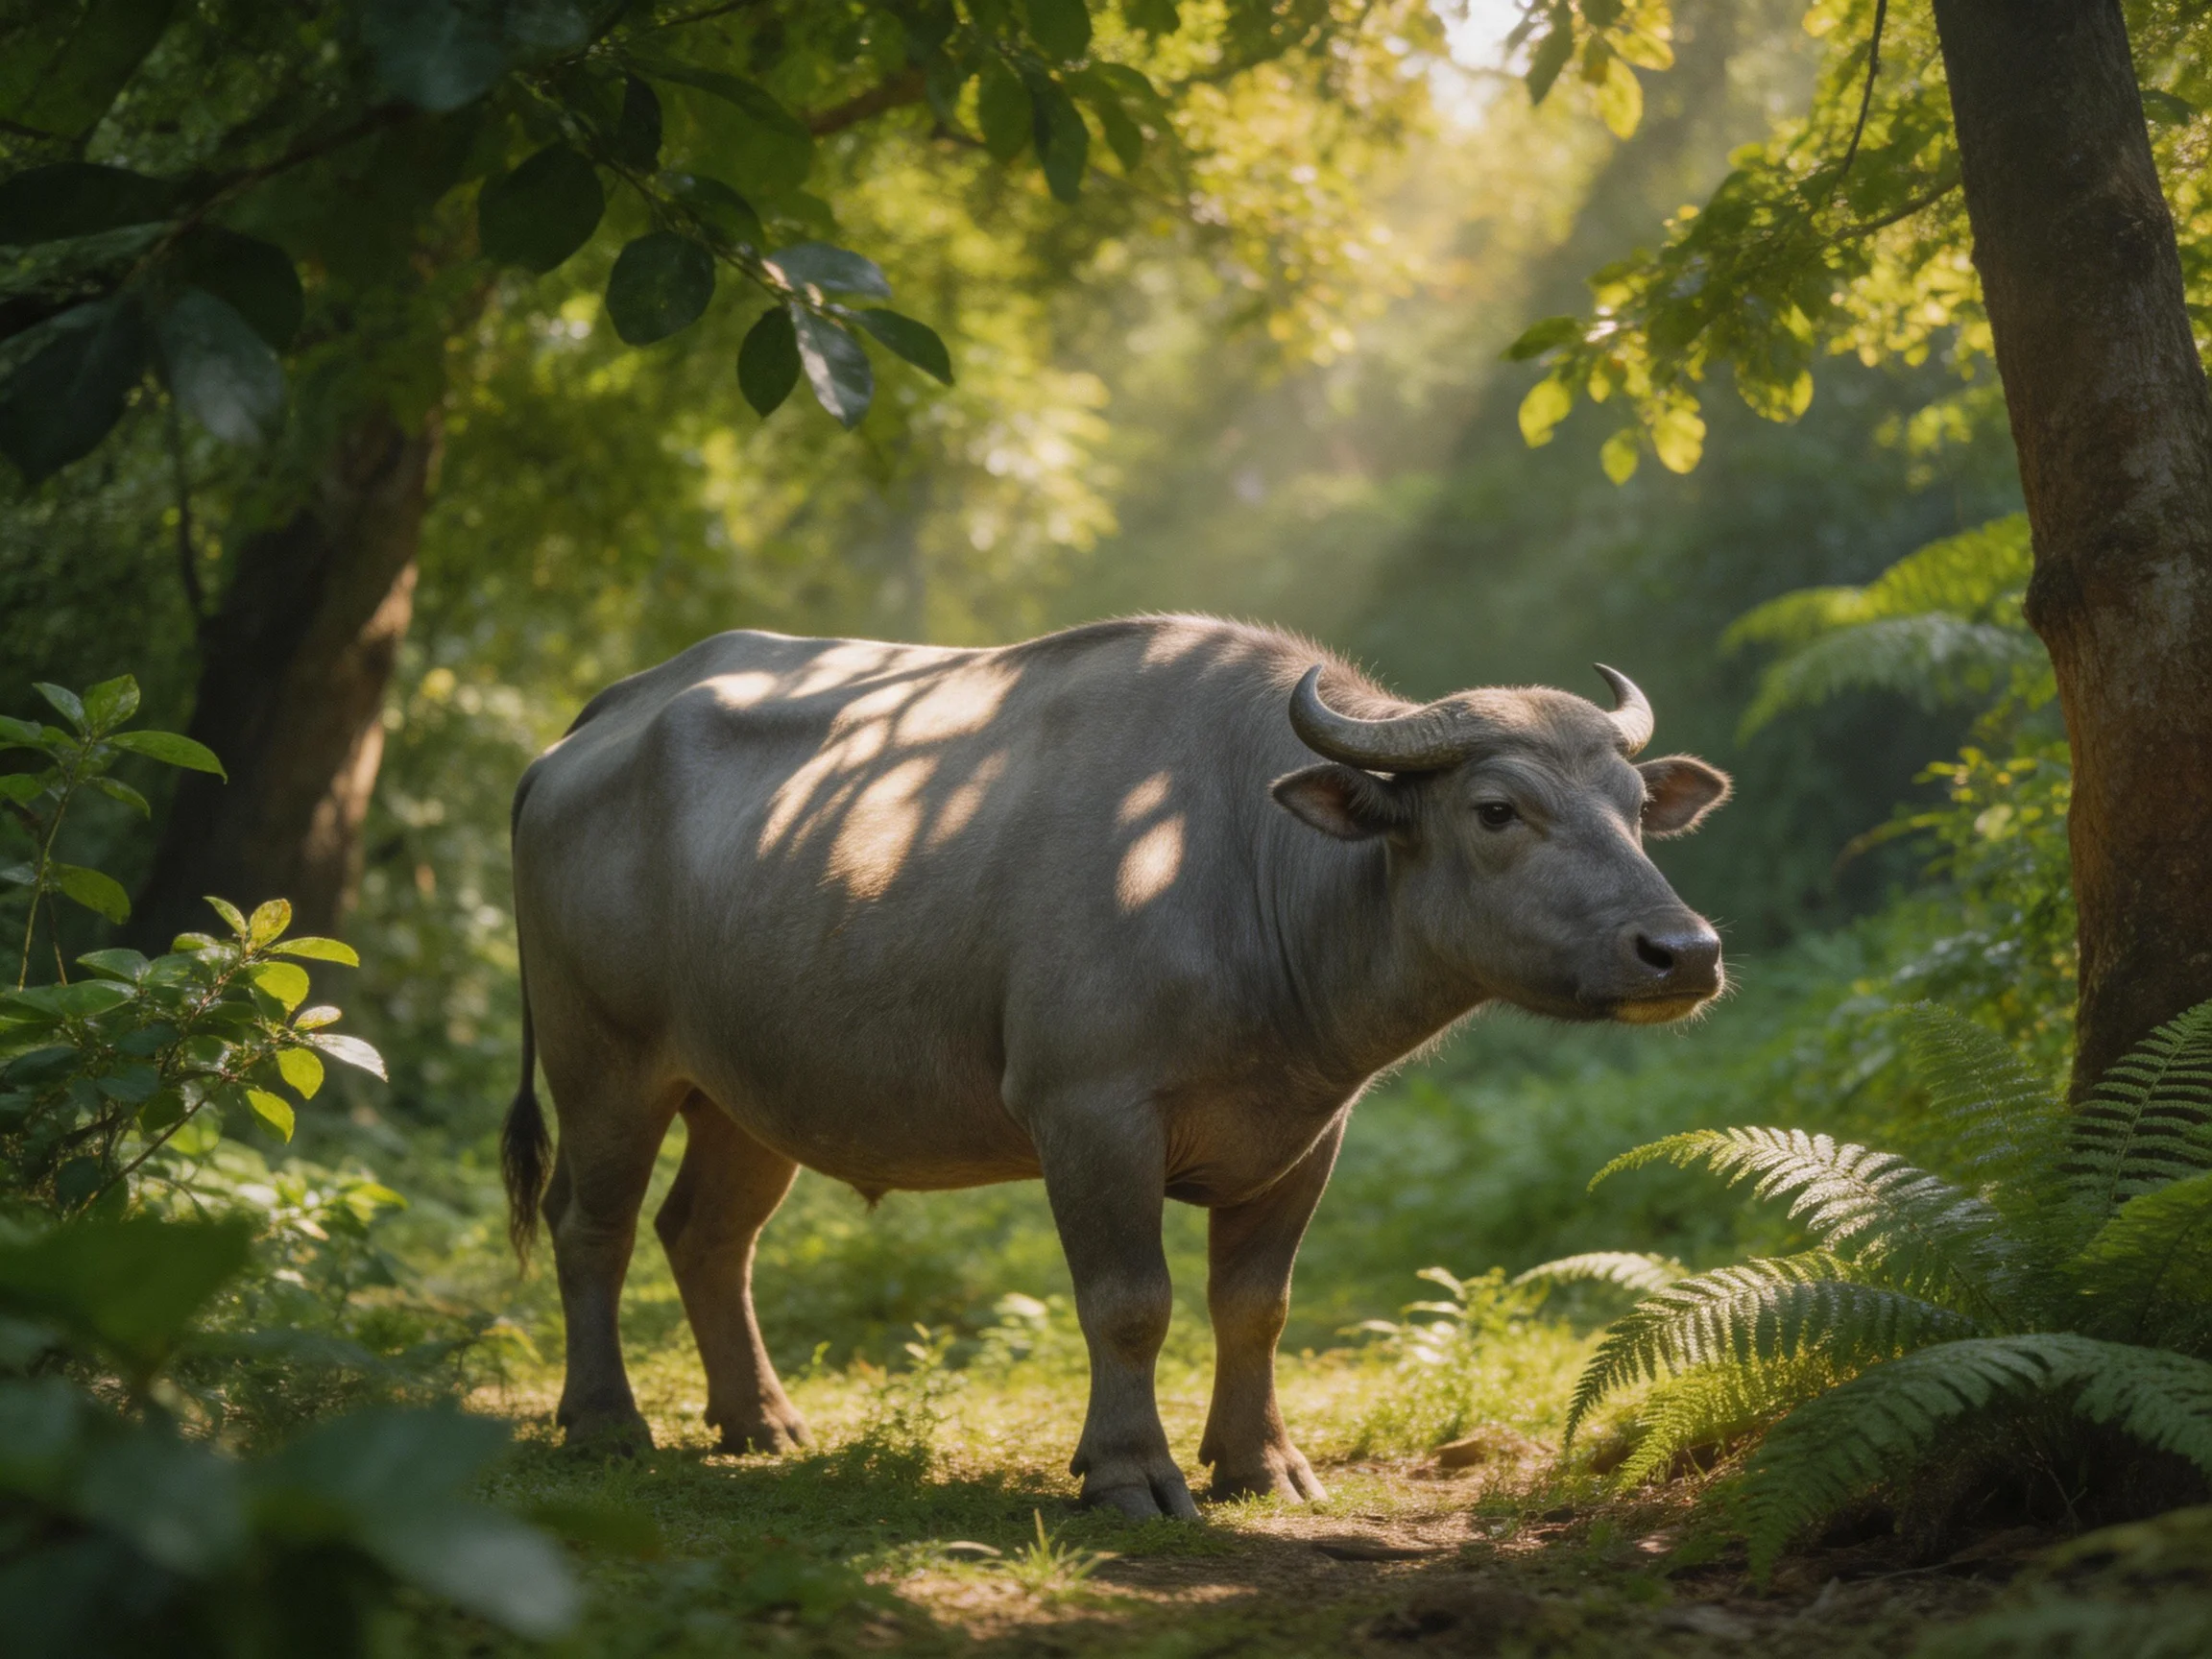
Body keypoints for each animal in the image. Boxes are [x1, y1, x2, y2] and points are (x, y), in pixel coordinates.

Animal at [503, 615, 1729, 1517]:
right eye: (1496, 809)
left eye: (1635, 811)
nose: (1685, 951)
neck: (1234, 865)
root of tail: (584, 733)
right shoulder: (1088, 1114)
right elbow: (1131, 1302)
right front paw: (1132, 1473)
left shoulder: (1309, 1132)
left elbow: (1257, 1305)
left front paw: (1260, 1464)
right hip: (603, 1060)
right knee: (591, 1227)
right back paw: (606, 1421)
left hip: (745, 1091)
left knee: (707, 1233)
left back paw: (760, 1420)